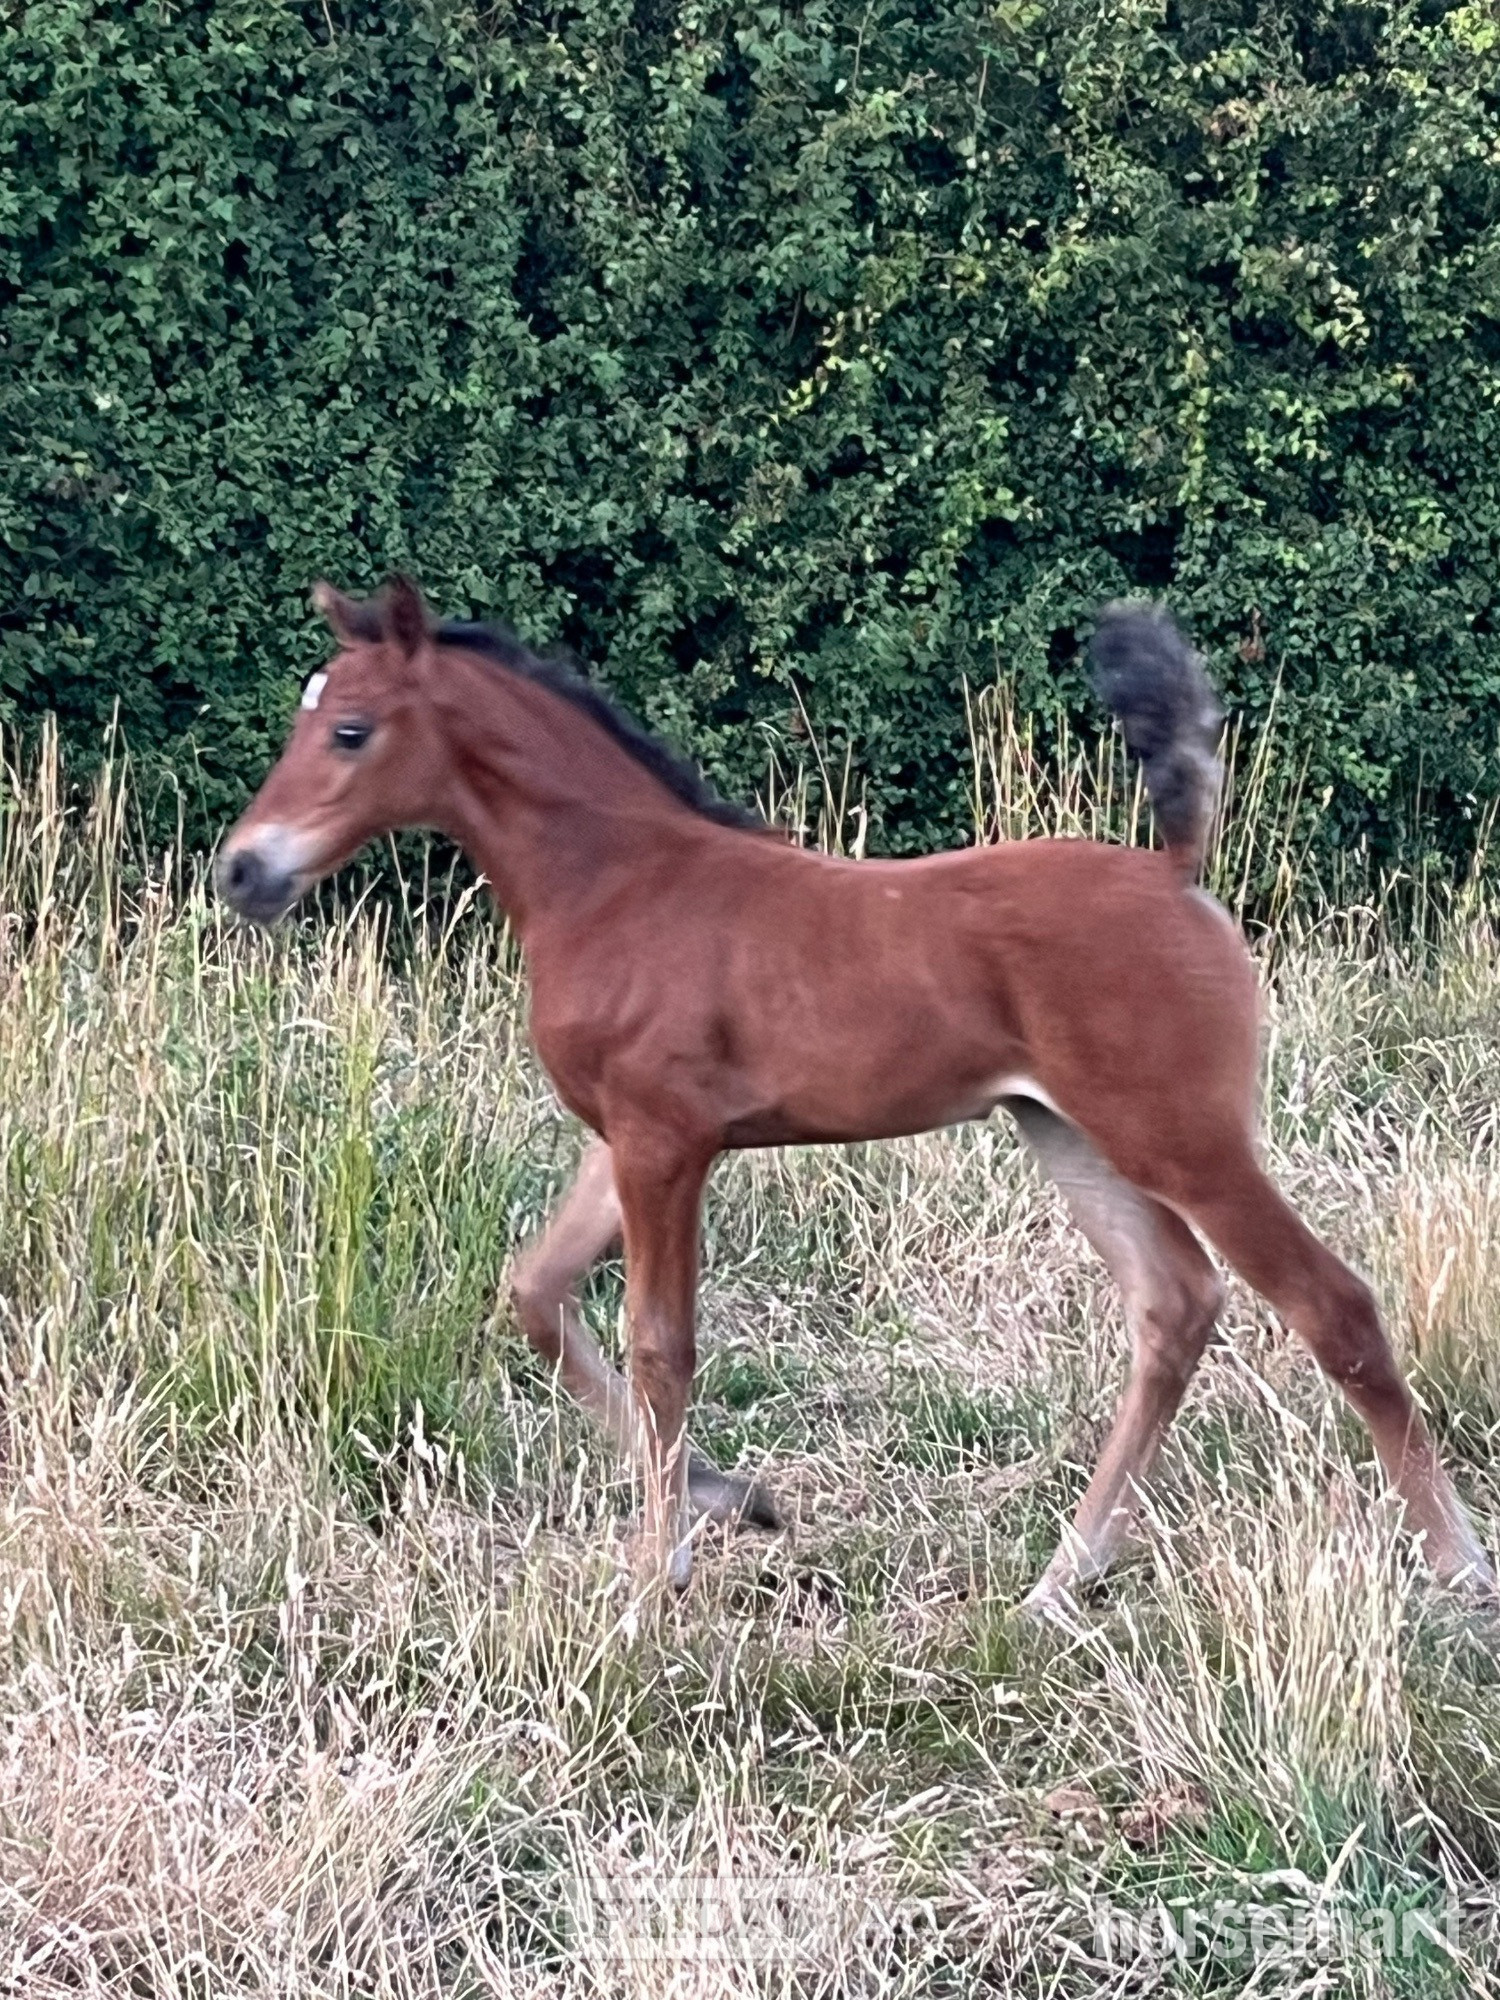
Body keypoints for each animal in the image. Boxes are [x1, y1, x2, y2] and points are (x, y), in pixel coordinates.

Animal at [217, 577, 1492, 1614]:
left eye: (350, 729)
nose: (243, 869)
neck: (618, 883)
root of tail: (1176, 874)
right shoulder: (622, 1136)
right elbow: (535, 1291)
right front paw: (729, 1505)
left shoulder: (667, 1141)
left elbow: (660, 1344)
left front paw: (652, 1583)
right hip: (1067, 1128)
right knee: (1174, 1305)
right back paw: (1058, 1580)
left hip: (1182, 1135)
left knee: (1332, 1306)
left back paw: (1458, 1566)